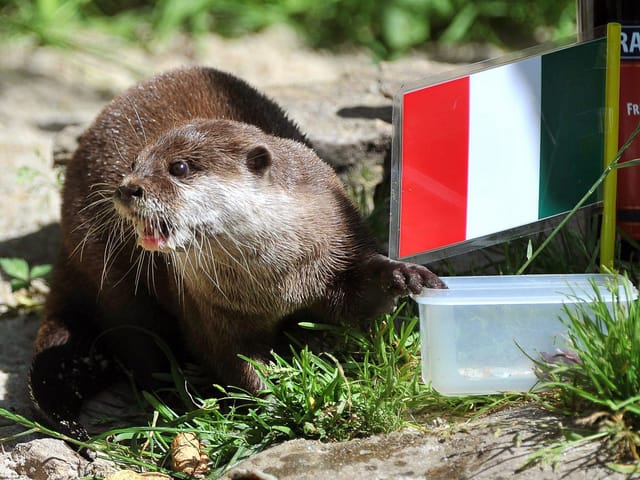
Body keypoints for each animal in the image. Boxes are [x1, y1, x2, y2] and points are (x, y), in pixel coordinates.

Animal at [30, 66, 445, 443]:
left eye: (179, 167)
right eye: (133, 164)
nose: (127, 188)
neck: (279, 281)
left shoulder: (341, 237)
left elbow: (359, 298)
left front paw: (404, 275)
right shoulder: (209, 309)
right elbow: (233, 361)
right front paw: (277, 403)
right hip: (111, 278)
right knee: (136, 343)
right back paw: (175, 396)